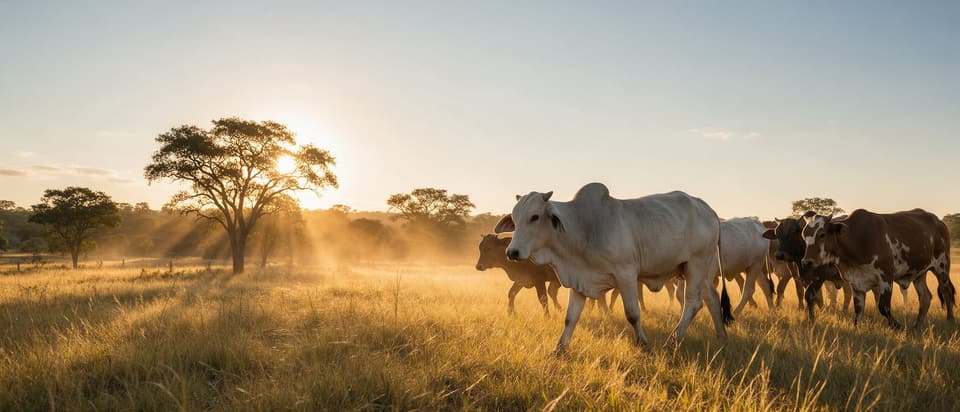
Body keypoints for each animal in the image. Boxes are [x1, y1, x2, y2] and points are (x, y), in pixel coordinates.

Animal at [494, 183, 732, 353]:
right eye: (514, 219)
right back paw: (721, 336)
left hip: (696, 264)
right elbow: (570, 317)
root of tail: (708, 209)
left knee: (693, 303)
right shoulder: (580, 280)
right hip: (701, 270)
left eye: (534, 217)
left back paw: (672, 341)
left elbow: (633, 314)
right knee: (712, 299)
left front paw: (644, 345)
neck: (583, 229)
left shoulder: (626, 274)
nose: (512, 252)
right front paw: (559, 349)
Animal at [800, 209, 955, 329]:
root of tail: (939, 222)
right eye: (804, 236)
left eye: (822, 234)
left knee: (947, 292)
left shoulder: (886, 278)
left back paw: (950, 321)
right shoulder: (856, 283)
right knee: (925, 298)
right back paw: (917, 327)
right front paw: (856, 328)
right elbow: (858, 309)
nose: (807, 262)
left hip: (942, 267)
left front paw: (898, 326)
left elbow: (883, 307)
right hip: (918, 274)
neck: (857, 239)